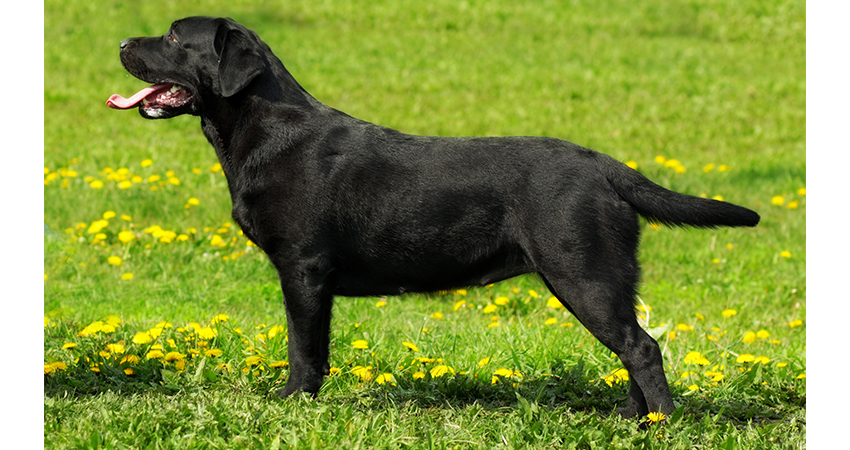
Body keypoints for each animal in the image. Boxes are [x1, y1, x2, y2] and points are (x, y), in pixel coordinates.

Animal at [107, 17, 756, 418]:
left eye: (173, 35)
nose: (119, 44)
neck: (262, 130)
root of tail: (606, 165)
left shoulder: (303, 268)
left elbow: (304, 349)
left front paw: (292, 402)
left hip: (583, 272)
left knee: (642, 348)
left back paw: (661, 425)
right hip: (595, 279)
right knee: (631, 346)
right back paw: (630, 419)